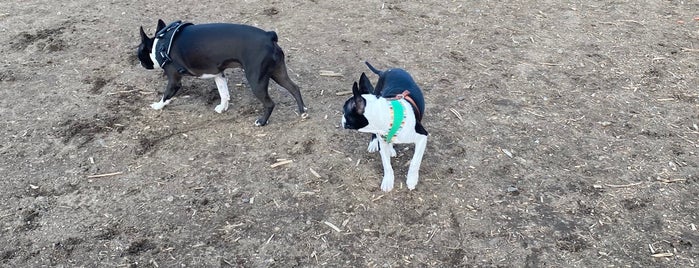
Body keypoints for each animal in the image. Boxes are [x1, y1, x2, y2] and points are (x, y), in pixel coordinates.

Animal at [139, 19, 306, 126]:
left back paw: (262, 122)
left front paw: (157, 106)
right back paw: (303, 111)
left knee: (270, 103)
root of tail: (268, 36)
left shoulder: (174, 80)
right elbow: (223, 92)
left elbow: (166, 94)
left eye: (139, 53)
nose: (141, 63)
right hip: (278, 72)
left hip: (256, 81)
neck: (160, 45)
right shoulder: (218, 74)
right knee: (294, 88)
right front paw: (222, 107)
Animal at [342, 61, 430, 192]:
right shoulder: (382, 142)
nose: (341, 119)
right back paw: (377, 144)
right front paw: (388, 181)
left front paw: (411, 179)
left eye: (344, 111)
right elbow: (386, 165)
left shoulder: (422, 137)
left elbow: (415, 162)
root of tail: (384, 71)